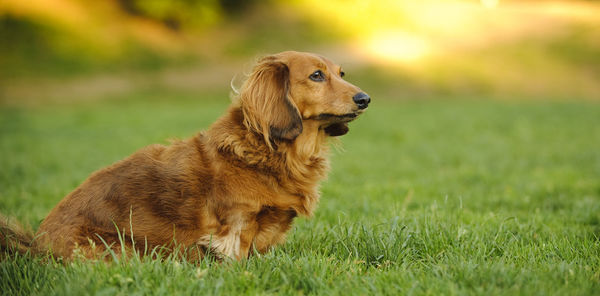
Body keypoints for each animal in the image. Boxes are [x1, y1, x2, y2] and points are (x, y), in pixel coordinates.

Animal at [0, 51, 370, 262]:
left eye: (342, 73)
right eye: (316, 75)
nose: (365, 99)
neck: (271, 152)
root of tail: (37, 246)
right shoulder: (236, 226)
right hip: (120, 250)